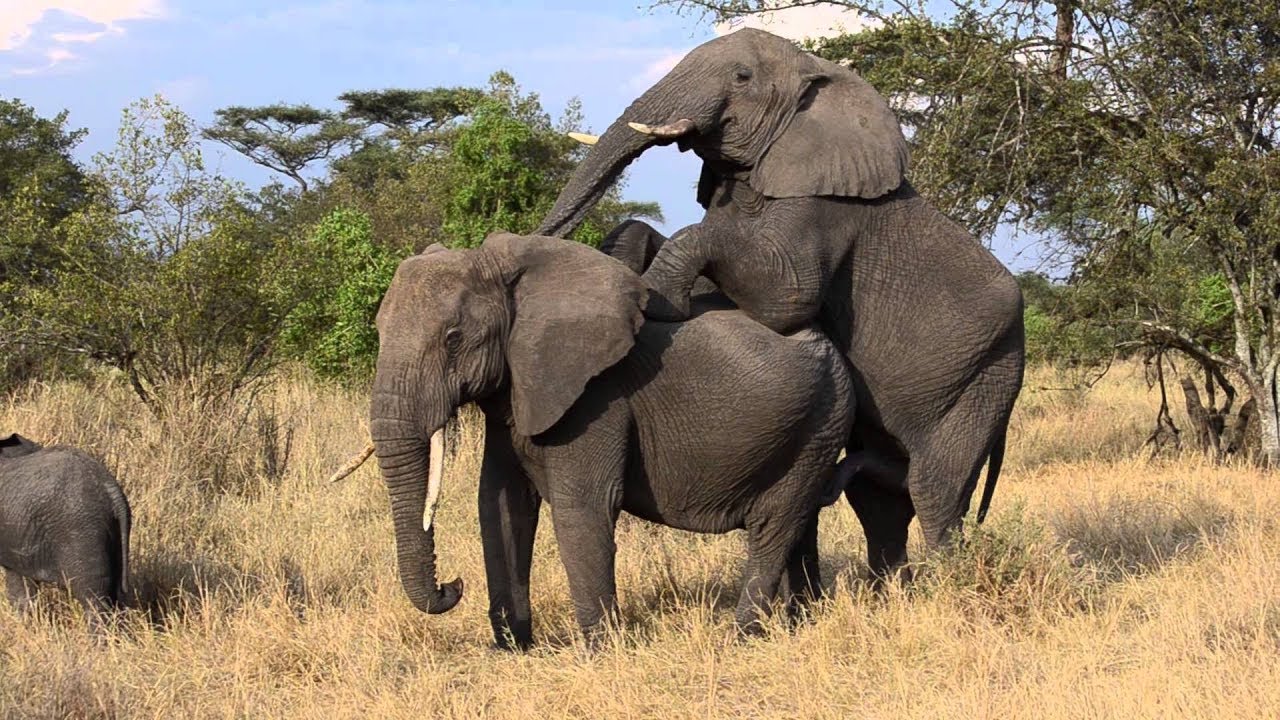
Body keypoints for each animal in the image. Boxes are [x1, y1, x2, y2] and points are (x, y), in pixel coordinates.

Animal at [366, 233, 860, 648]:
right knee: (798, 526)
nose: (452, 585)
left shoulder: (596, 396)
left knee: (774, 526)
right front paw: (513, 648)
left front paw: (601, 652)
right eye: (378, 332)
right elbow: (500, 503)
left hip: (823, 420)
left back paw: (742, 637)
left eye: (453, 339)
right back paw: (796, 621)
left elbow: (583, 508)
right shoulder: (517, 386)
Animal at [535, 26, 1024, 576]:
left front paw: (659, 304)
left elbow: (786, 295)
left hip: (985, 377)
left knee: (935, 489)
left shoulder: (823, 203)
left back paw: (943, 583)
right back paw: (892, 588)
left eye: (742, 77)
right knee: (881, 498)